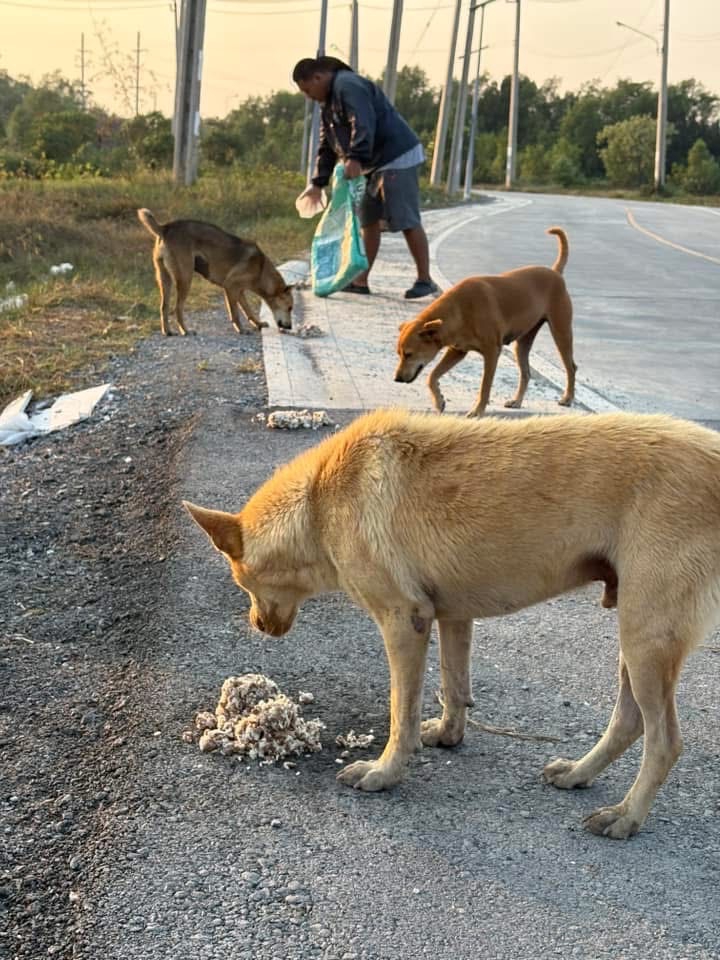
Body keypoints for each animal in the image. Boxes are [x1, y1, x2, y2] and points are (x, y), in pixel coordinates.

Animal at [137, 209, 294, 336]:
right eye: (290, 308)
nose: (290, 327)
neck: (261, 269)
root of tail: (165, 228)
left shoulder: (239, 291)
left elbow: (247, 310)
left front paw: (258, 323)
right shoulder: (230, 286)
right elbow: (235, 313)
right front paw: (241, 329)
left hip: (165, 280)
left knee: (164, 307)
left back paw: (168, 331)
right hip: (185, 279)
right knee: (177, 308)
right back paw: (185, 330)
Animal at [184, 408, 720, 839]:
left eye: (242, 581)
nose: (259, 625)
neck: (318, 500)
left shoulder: (403, 623)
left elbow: (401, 712)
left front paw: (386, 772)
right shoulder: (453, 617)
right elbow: (453, 686)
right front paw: (447, 734)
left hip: (645, 635)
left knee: (664, 741)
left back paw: (627, 816)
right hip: (637, 635)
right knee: (630, 722)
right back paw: (579, 774)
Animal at [394, 227, 575, 417]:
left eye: (409, 354)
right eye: (399, 353)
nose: (397, 379)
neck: (459, 309)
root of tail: (555, 272)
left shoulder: (492, 352)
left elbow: (485, 386)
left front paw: (478, 410)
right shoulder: (456, 351)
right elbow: (432, 376)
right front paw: (438, 401)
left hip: (561, 331)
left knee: (571, 367)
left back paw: (568, 398)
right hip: (523, 341)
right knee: (526, 372)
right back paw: (517, 401)